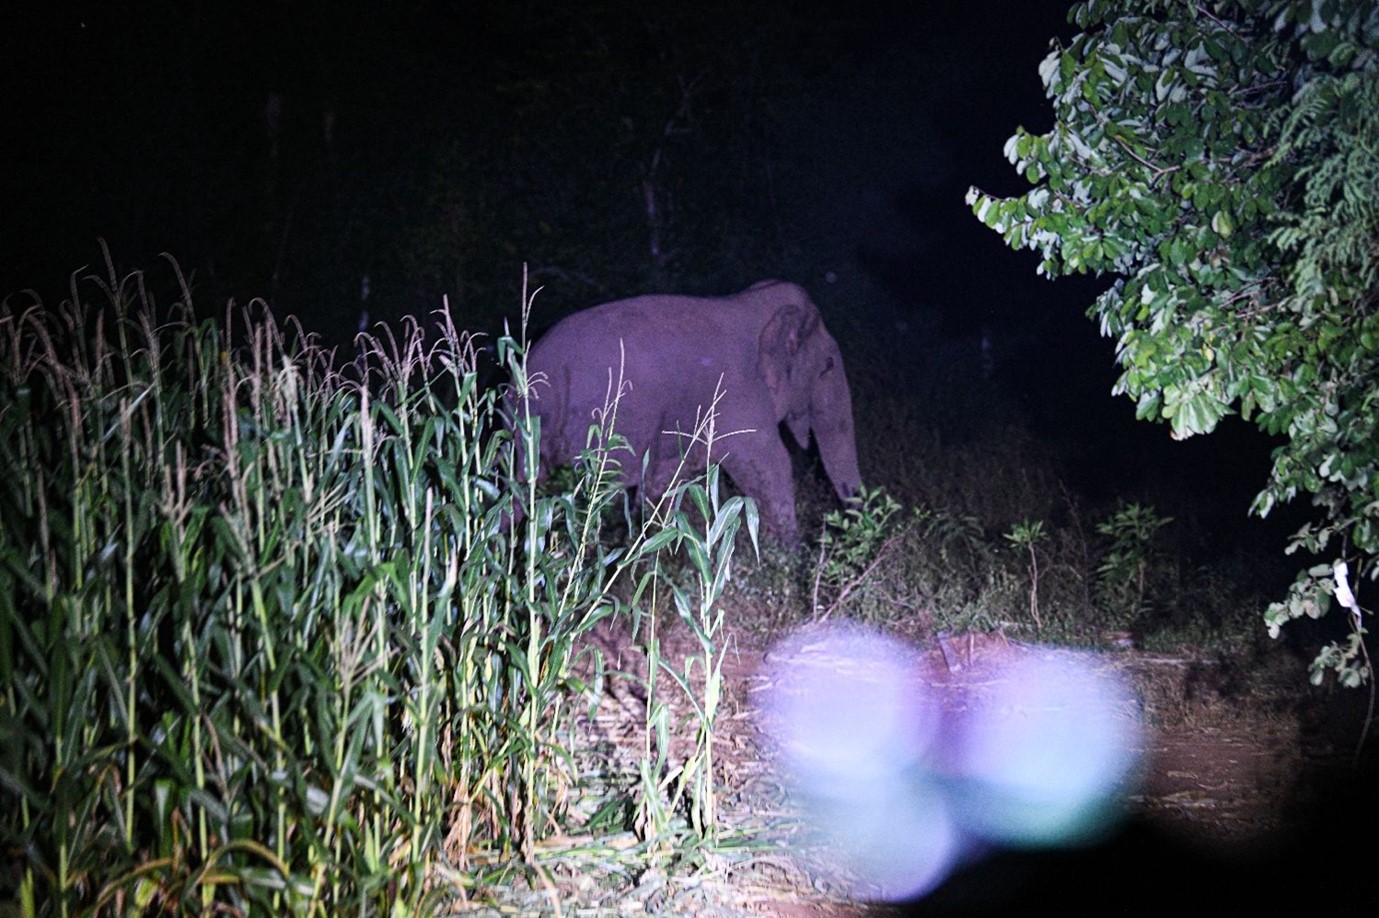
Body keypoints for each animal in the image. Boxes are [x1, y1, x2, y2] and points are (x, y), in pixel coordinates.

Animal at [514, 279, 861, 545]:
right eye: (828, 366)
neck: (754, 303)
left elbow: (665, 481)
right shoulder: (737, 395)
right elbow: (771, 466)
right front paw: (786, 560)